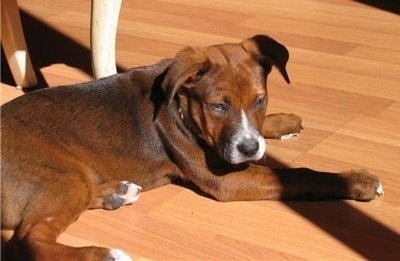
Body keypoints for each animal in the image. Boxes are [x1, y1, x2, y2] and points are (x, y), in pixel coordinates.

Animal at [0, 35, 382, 260]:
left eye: (260, 100)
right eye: (218, 106)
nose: (248, 149)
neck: (182, 104)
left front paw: (284, 121)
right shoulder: (226, 178)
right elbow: (300, 175)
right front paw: (357, 181)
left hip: (71, 179)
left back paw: (116, 193)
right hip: (62, 174)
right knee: (30, 239)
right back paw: (103, 253)